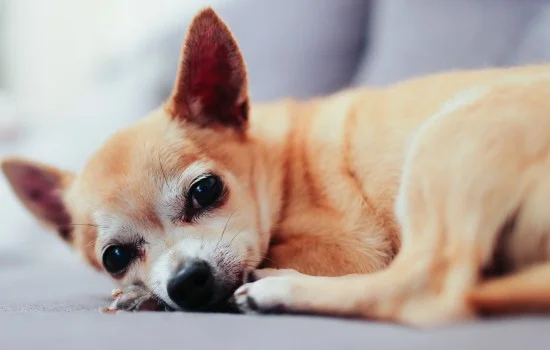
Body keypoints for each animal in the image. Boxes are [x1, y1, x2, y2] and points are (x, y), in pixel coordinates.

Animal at [3, 8, 550, 326]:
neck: (280, 164)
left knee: (424, 289)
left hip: (449, 136)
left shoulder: (349, 251)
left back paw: (277, 288)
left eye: (205, 191)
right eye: (114, 257)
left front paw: (145, 297)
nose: (185, 281)